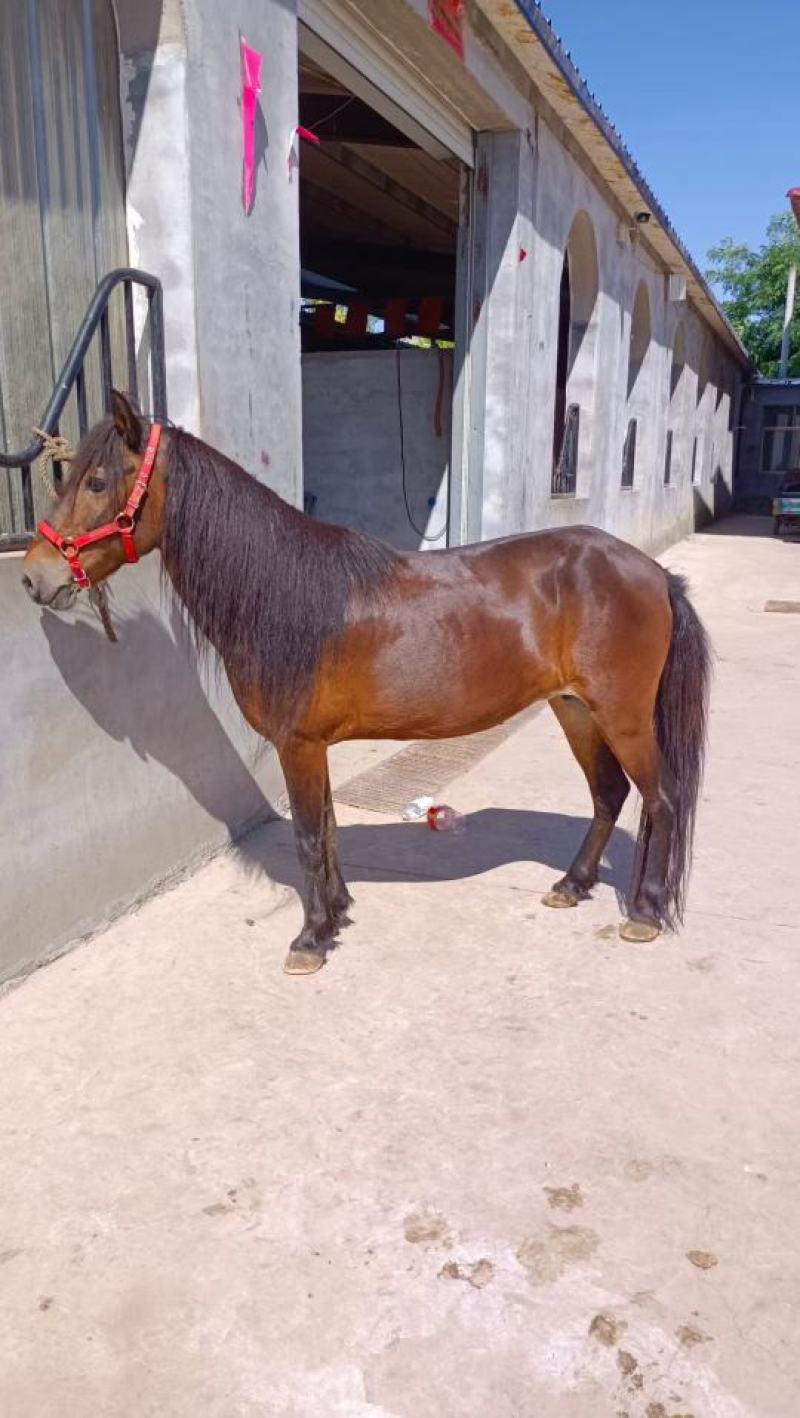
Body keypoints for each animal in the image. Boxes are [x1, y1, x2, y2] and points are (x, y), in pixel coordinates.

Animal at [21, 391, 711, 976]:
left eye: (97, 481)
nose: (33, 577)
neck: (283, 592)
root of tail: (653, 573)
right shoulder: (314, 746)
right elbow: (325, 828)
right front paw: (337, 916)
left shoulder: (297, 745)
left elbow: (306, 836)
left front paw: (309, 940)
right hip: (574, 708)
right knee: (609, 793)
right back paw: (572, 885)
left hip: (621, 714)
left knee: (662, 799)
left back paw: (644, 913)